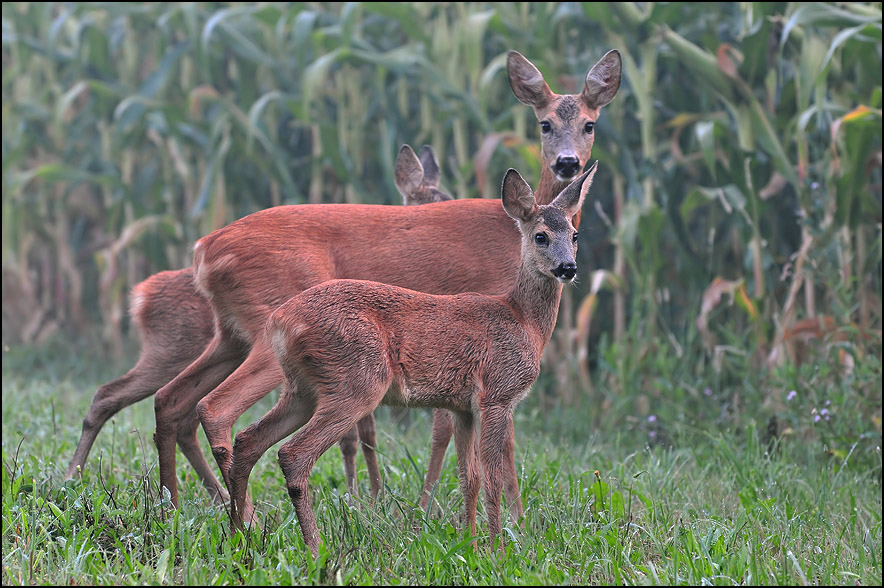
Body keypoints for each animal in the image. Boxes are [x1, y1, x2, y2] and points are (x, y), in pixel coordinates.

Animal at [231, 163, 596, 552]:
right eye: (541, 236)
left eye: (575, 234)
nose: (568, 268)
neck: (523, 320)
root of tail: (280, 322)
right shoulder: (497, 394)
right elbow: (493, 478)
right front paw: (497, 548)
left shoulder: (463, 406)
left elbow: (470, 477)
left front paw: (470, 543)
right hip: (356, 381)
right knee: (293, 454)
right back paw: (314, 547)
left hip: (303, 388)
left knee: (248, 440)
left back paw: (239, 534)